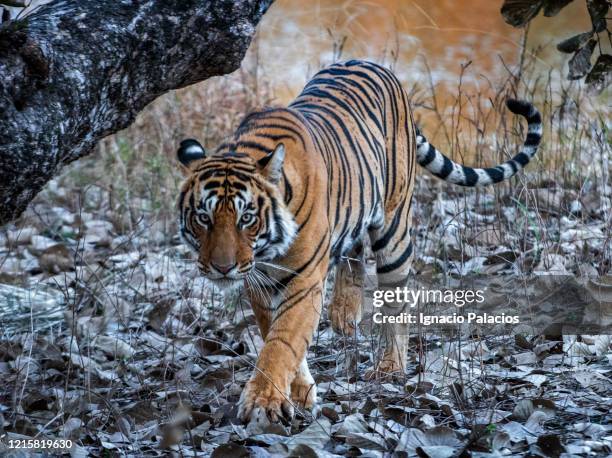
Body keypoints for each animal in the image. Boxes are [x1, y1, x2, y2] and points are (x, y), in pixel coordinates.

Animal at [176, 60, 540, 422]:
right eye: (203, 218)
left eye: (246, 218)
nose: (223, 268)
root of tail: (374, 64)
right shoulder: (260, 281)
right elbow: (275, 335)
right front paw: (301, 392)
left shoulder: (304, 279)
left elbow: (283, 341)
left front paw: (264, 402)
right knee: (354, 248)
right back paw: (345, 314)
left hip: (395, 229)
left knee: (397, 302)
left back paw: (390, 367)